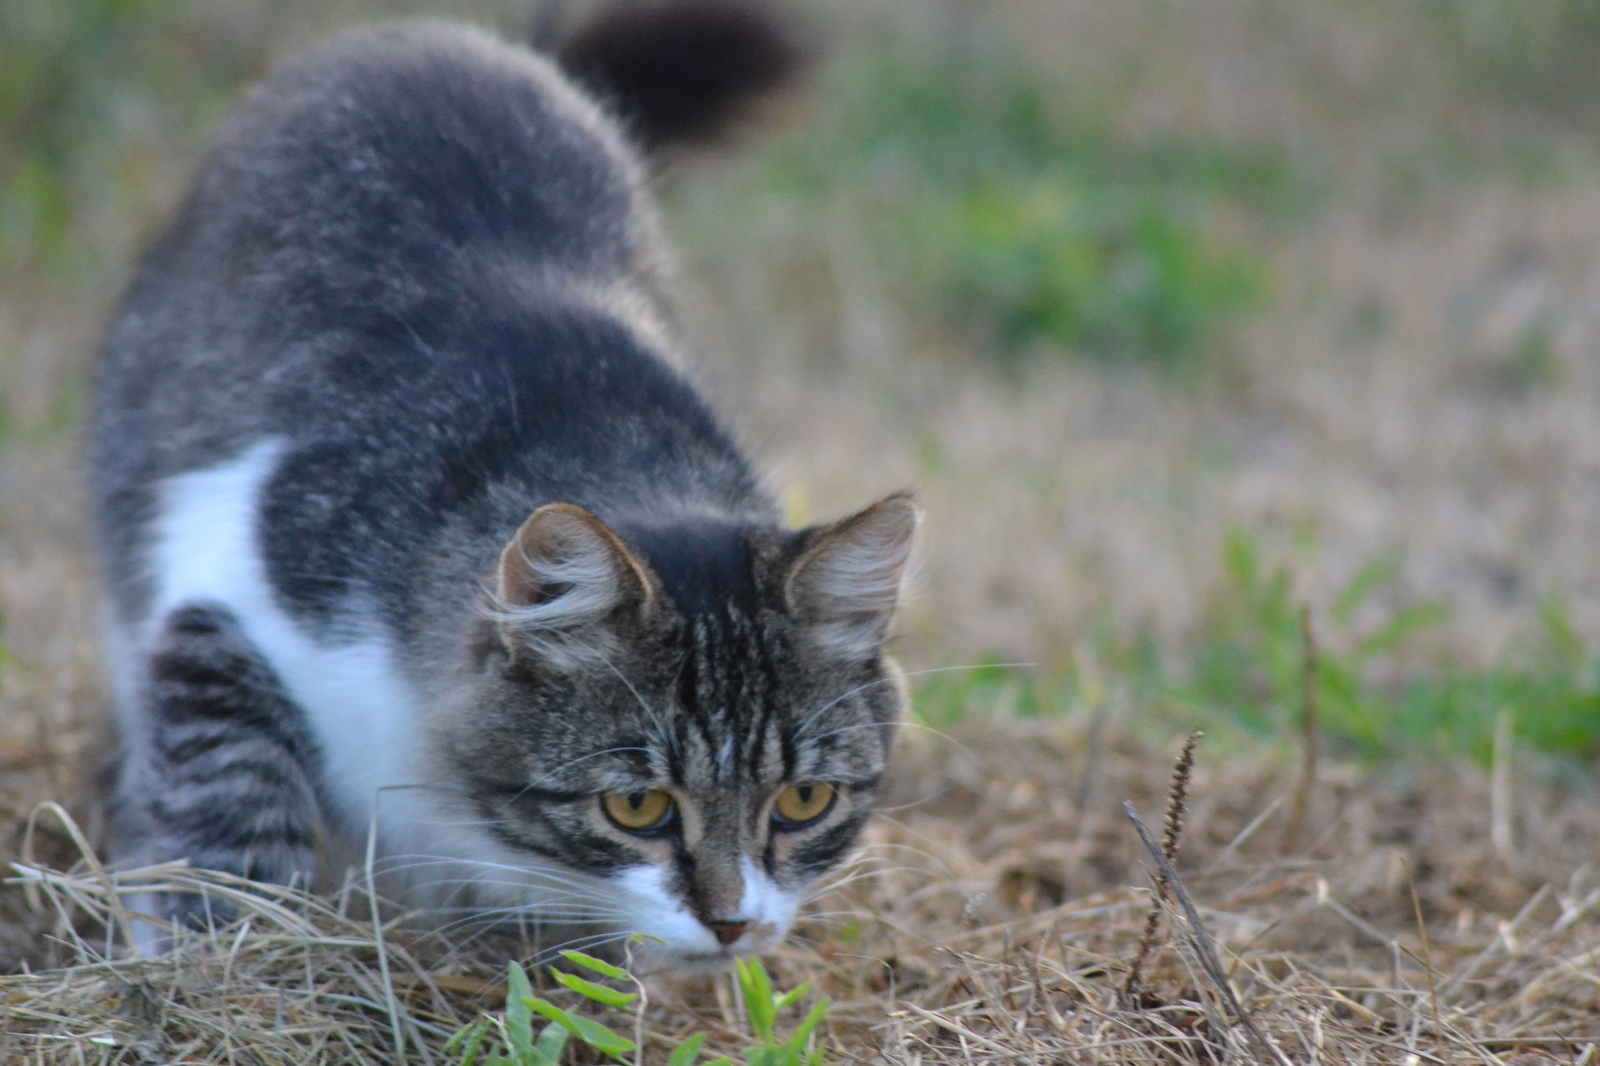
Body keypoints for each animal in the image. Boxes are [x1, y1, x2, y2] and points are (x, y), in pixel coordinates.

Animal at [93, 0, 921, 966]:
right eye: (636, 808)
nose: (731, 924)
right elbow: (229, 808)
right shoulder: (225, 580)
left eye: (803, 801)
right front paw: (225, 958)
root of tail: (457, 40)